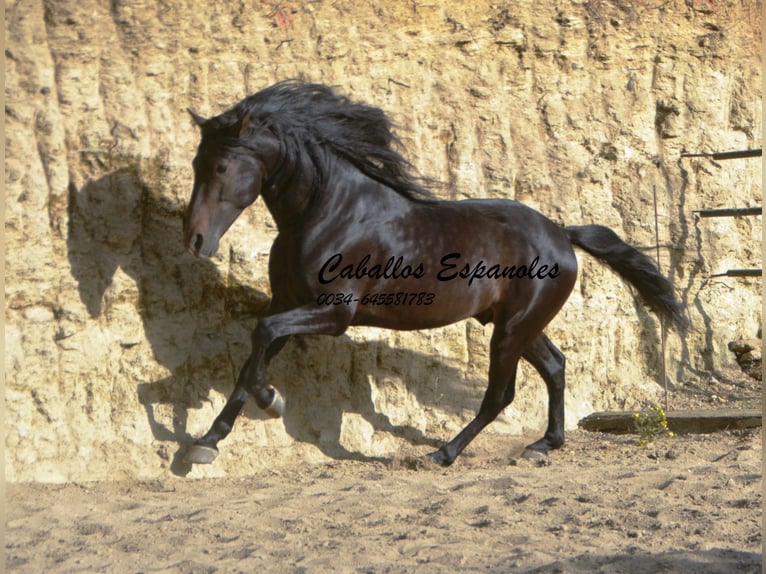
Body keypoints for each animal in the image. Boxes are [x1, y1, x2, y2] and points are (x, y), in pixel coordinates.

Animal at [183, 81, 688, 468]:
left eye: (222, 165)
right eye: (195, 163)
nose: (195, 240)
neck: (330, 213)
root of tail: (561, 234)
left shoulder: (333, 313)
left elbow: (262, 338)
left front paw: (271, 401)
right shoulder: (289, 304)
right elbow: (254, 353)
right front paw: (208, 442)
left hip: (511, 329)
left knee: (500, 394)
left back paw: (444, 453)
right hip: (517, 324)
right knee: (555, 367)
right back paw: (542, 445)